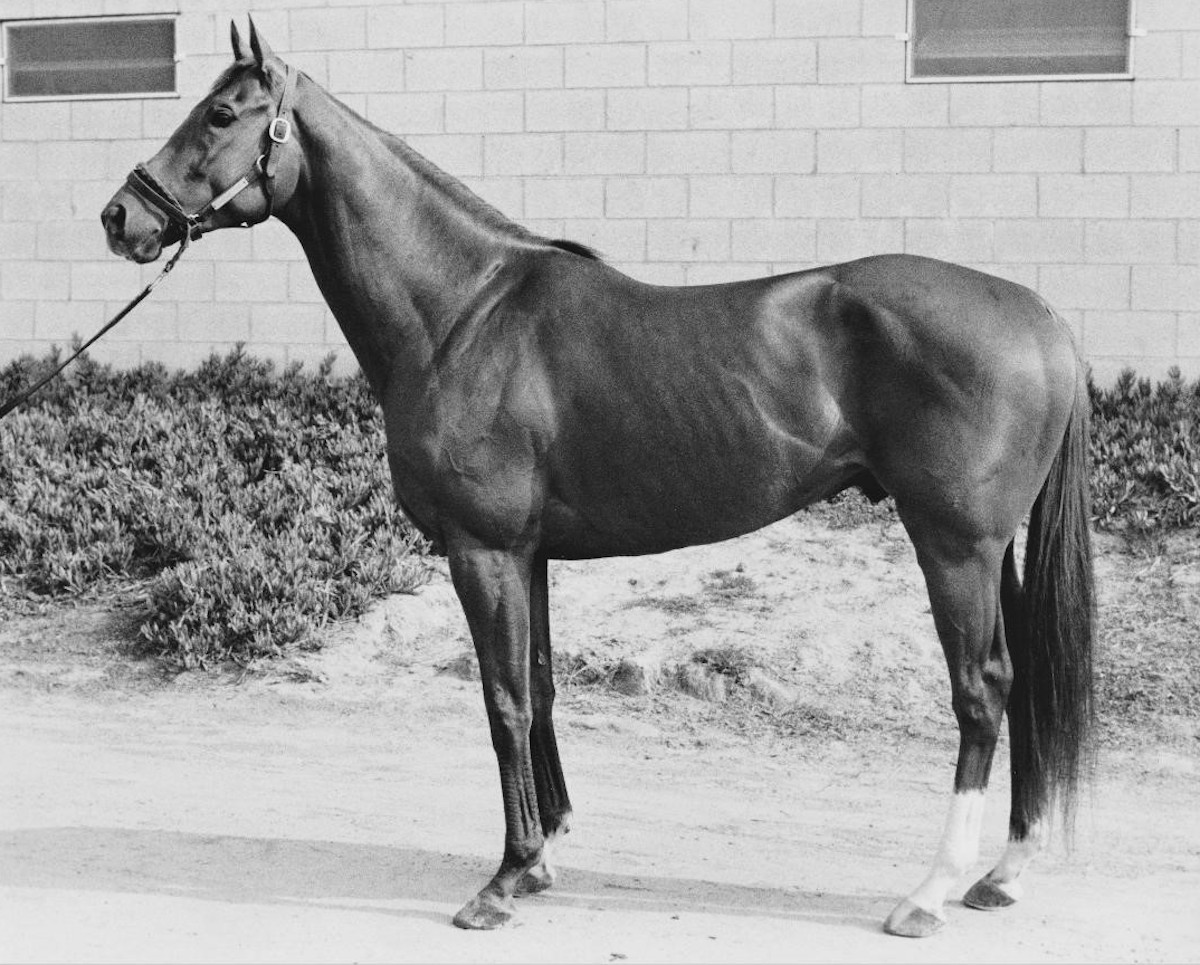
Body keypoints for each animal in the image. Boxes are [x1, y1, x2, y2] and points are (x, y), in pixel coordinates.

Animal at [103, 22, 1099, 940]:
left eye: (222, 114)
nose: (121, 216)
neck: (461, 312)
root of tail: (1039, 313)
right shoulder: (531, 555)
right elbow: (540, 689)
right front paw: (547, 850)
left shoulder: (484, 551)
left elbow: (503, 700)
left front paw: (506, 877)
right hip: (993, 551)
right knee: (1026, 681)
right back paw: (1002, 871)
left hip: (954, 546)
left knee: (983, 690)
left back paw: (929, 891)